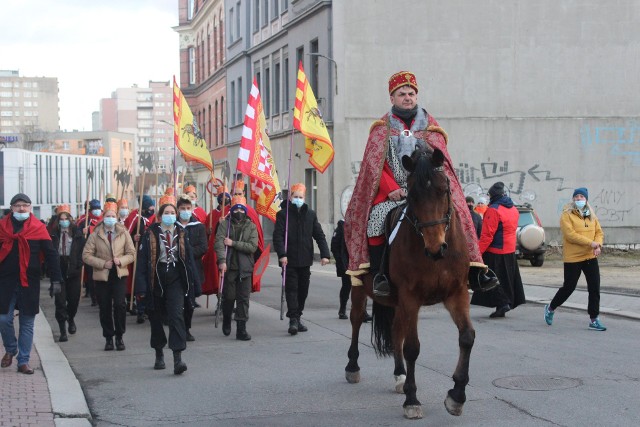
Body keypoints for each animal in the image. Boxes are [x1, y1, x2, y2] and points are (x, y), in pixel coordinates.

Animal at [344, 146, 476, 418]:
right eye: (413, 195)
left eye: (444, 189)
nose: (436, 248)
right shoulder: (410, 297)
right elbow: (413, 347)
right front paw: (412, 399)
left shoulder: (456, 293)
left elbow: (467, 337)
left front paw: (456, 396)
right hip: (359, 285)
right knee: (356, 319)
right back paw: (353, 367)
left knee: (396, 330)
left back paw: (400, 375)